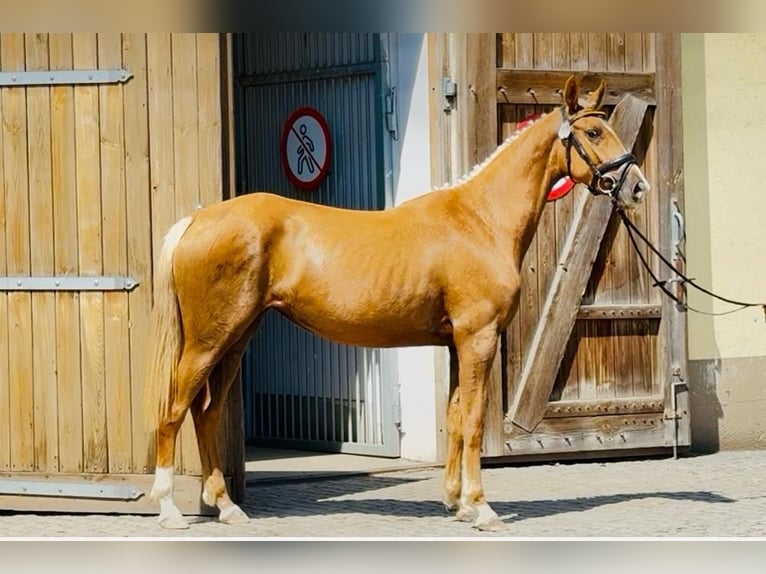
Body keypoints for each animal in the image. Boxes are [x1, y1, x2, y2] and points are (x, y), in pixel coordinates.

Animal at [144, 75, 649, 531]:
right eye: (593, 133)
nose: (637, 187)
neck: (480, 221)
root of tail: (197, 220)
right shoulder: (478, 338)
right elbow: (474, 419)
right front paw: (482, 508)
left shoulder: (456, 344)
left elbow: (456, 417)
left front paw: (457, 504)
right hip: (209, 341)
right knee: (172, 411)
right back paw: (169, 510)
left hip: (236, 339)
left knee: (204, 413)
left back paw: (227, 507)